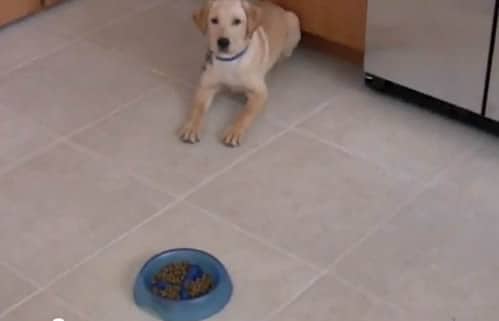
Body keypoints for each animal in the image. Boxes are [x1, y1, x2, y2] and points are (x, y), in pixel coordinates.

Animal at [182, 0, 302, 146]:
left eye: (237, 21)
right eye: (214, 20)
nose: (223, 42)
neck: (229, 61)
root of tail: (278, 7)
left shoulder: (259, 93)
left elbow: (245, 113)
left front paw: (235, 131)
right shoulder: (206, 87)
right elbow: (197, 109)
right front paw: (191, 127)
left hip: (293, 22)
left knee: (285, 55)